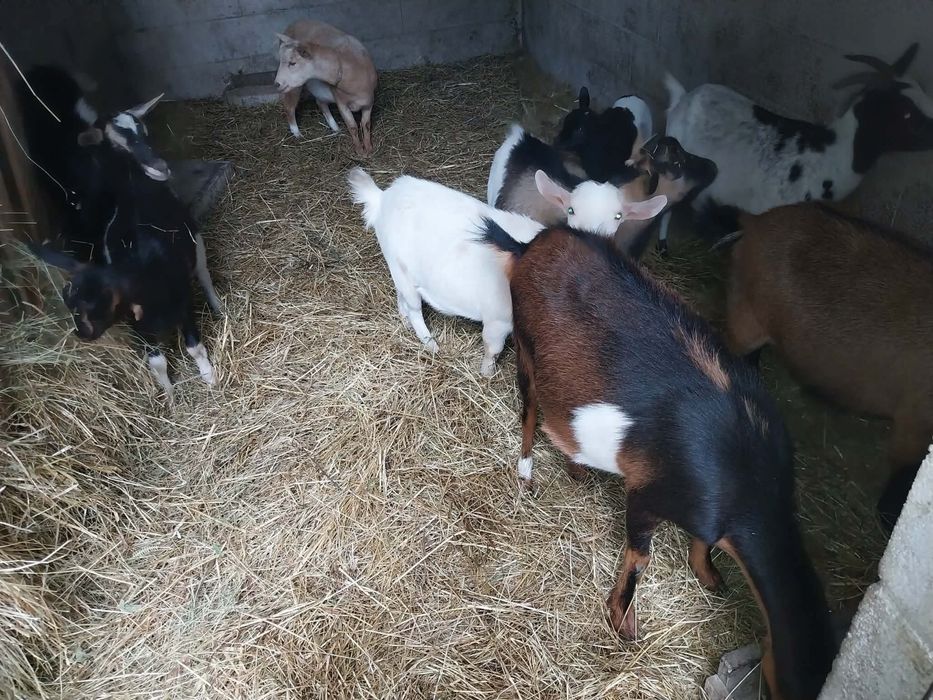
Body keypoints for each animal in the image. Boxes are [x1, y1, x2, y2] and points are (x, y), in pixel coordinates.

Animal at [274, 20, 377, 155]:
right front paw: (359, 150)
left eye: (292, 63)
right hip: (294, 87)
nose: (276, 84)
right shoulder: (341, 103)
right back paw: (297, 134)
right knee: (289, 107)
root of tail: (295, 22)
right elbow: (353, 126)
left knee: (320, 102)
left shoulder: (368, 102)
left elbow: (366, 125)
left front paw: (369, 148)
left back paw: (335, 128)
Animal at [348, 167, 666, 376]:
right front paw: (486, 374)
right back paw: (431, 344)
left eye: (618, 217)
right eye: (571, 210)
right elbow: (493, 348)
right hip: (398, 262)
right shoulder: (498, 317)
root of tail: (382, 197)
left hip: (401, 271)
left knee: (403, 300)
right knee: (414, 308)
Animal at [483, 223, 836, 700]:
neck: (748, 488)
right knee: (530, 406)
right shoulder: (649, 492)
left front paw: (710, 578)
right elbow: (639, 559)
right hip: (525, 342)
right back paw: (526, 473)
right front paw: (623, 624)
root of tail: (527, 247)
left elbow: (703, 545)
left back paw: (578, 469)